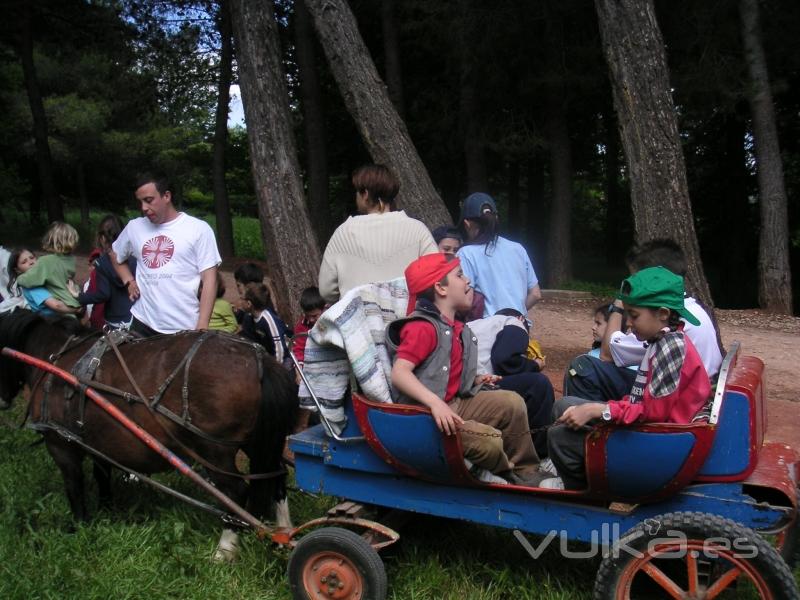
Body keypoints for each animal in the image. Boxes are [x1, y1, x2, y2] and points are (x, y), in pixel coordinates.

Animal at [0, 312, 296, 556]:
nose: (2, 401)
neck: (56, 362)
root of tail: (259, 361)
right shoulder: (99, 443)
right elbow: (102, 476)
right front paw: (107, 511)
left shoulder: (61, 445)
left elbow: (74, 487)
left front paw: (80, 525)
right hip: (259, 441)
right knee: (277, 476)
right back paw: (283, 533)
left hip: (214, 450)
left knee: (235, 493)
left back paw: (225, 550)